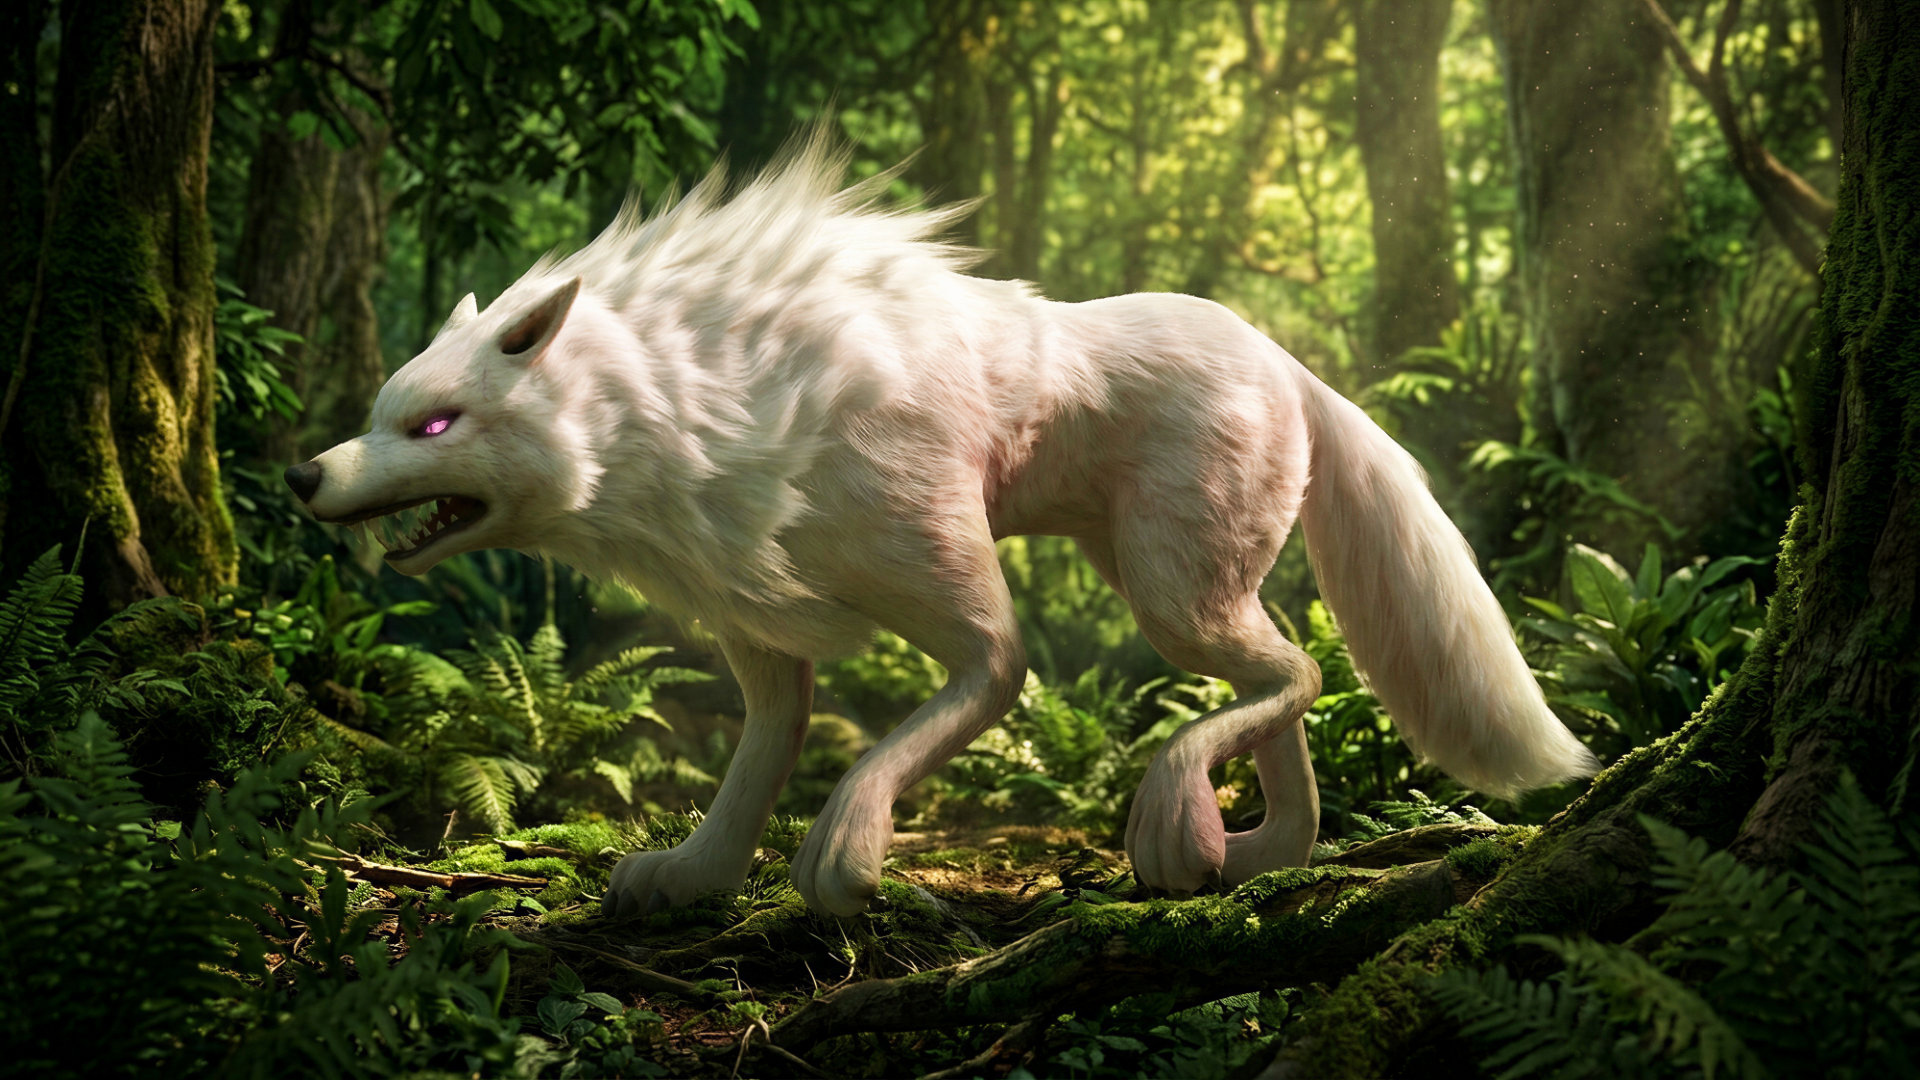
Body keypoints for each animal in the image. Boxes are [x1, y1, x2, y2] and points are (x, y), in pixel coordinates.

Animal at [286, 136, 1599, 918]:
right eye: (380, 415)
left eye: (436, 424)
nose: (303, 473)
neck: (705, 406)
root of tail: (1290, 361)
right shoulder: (764, 637)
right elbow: (761, 755)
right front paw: (693, 877)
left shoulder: (950, 588)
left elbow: (977, 689)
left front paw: (844, 855)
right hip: (1182, 584)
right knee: (1293, 683)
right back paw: (1258, 856)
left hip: (1169, 594)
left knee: (1299, 671)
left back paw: (1178, 827)